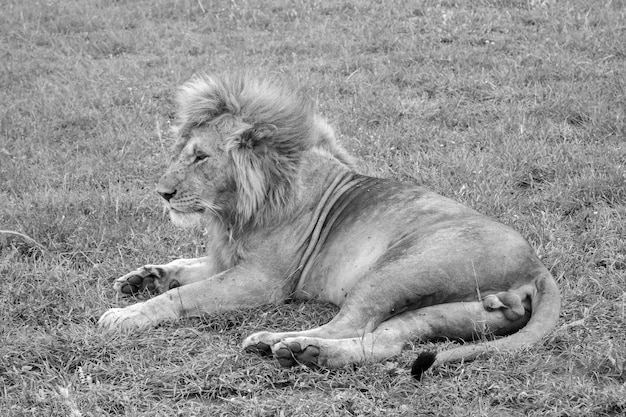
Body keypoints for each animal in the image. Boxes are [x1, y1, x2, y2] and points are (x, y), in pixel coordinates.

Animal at [98, 72, 560, 376]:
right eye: (183, 152)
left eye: (200, 157)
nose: (162, 193)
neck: (235, 211)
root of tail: (537, 266)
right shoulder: (226, 258)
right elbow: (183, 265)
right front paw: (142, 278)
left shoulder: (263, 280)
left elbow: (185, 295)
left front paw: (125, 315)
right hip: (450, 310)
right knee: (387, 340)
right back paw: (307, 353)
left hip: (397, 269)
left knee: (350, 323)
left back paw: (280, 343)